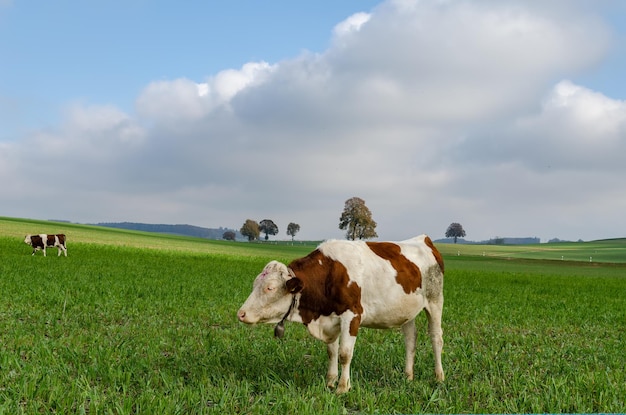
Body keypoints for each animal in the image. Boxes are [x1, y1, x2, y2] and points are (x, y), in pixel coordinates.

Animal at [235, 236, 444, 394]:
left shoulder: (352, 316)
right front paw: (330, 381)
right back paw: (408, 376)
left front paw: (343, 387)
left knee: (436, 338)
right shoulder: (330, 320)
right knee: (410, 339)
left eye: (270, 288)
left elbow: (344, 353)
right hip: (407, 312)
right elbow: (331, 352)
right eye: (255, 284)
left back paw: (439, 377)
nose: (241, 314)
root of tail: (424, 239)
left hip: (435, 301)